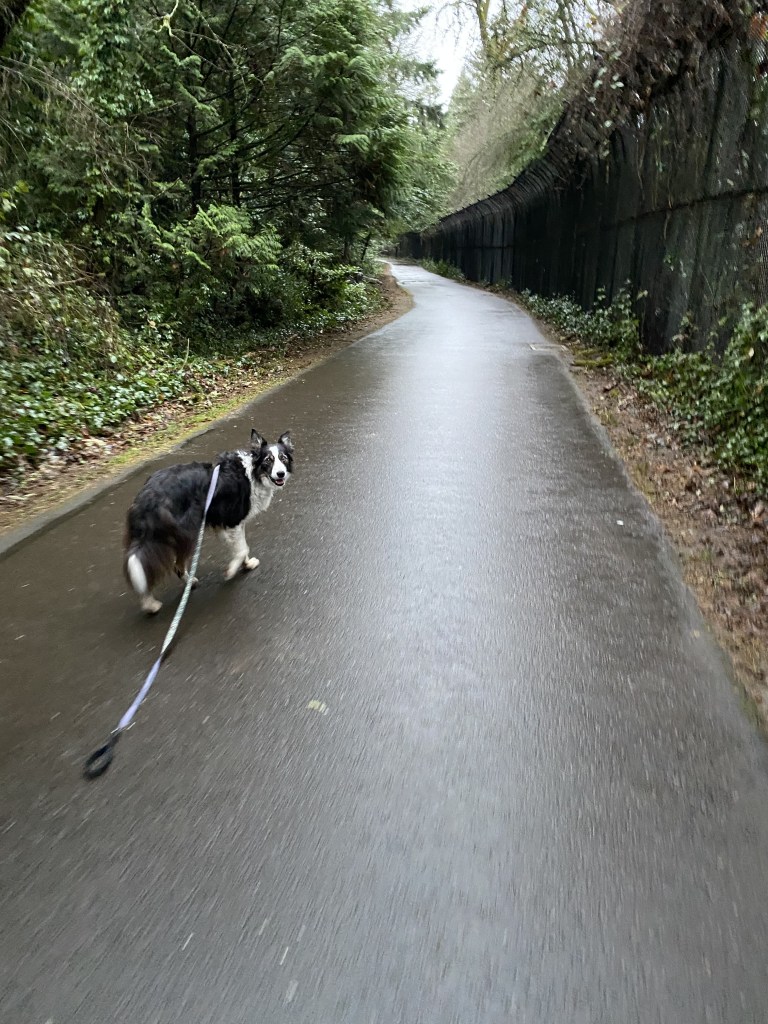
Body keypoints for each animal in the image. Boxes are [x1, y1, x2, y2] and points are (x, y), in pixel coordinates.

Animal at [124, 428, 293, 613]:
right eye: (268, 460)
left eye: (283, 458)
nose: (280, 474)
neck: (253, 474)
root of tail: (146, 496)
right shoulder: (232, 520)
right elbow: (242, 549)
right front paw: (231, 570)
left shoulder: (226, 524)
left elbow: (241, 548)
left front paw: (246, 564)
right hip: (185, 534)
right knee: (168, 566)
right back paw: (152, 604)